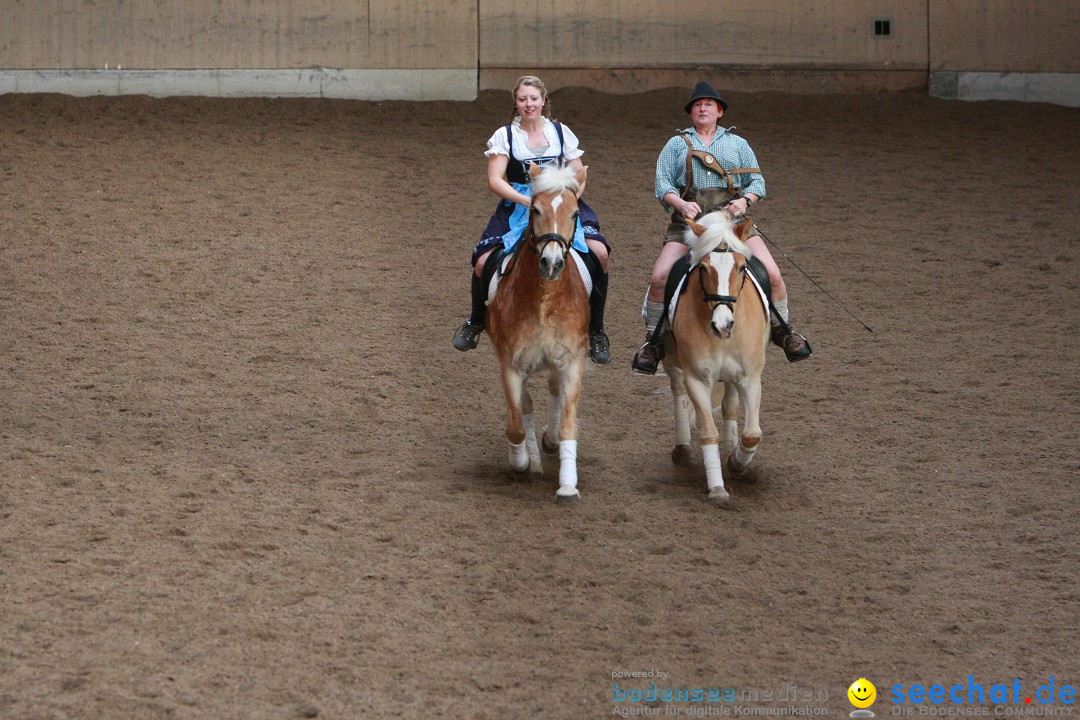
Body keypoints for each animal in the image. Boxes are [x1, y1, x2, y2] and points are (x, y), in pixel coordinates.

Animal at [488, 162, 596, 505]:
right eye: (534, 210)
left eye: (575, 213)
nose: (551, 263)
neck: (544, 302)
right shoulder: (510, 365)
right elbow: (516, 425)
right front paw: (522, 462)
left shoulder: (573, 361)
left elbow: (568, 426)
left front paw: (567, 485)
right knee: (526, 406)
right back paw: (533, 459)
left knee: (552, 391)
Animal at [656, 211, 768, 507]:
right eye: (704, 269)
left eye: (741, 268)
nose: (723, 324)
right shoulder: (696, 378)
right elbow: (708, 433)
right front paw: (717, 488)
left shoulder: (750, 378)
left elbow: (752, 434)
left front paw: (738, 463)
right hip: (672, 362)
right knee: (678, 394)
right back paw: (683, 448)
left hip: (731, 377)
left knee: (729, 407)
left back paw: (732, 448)